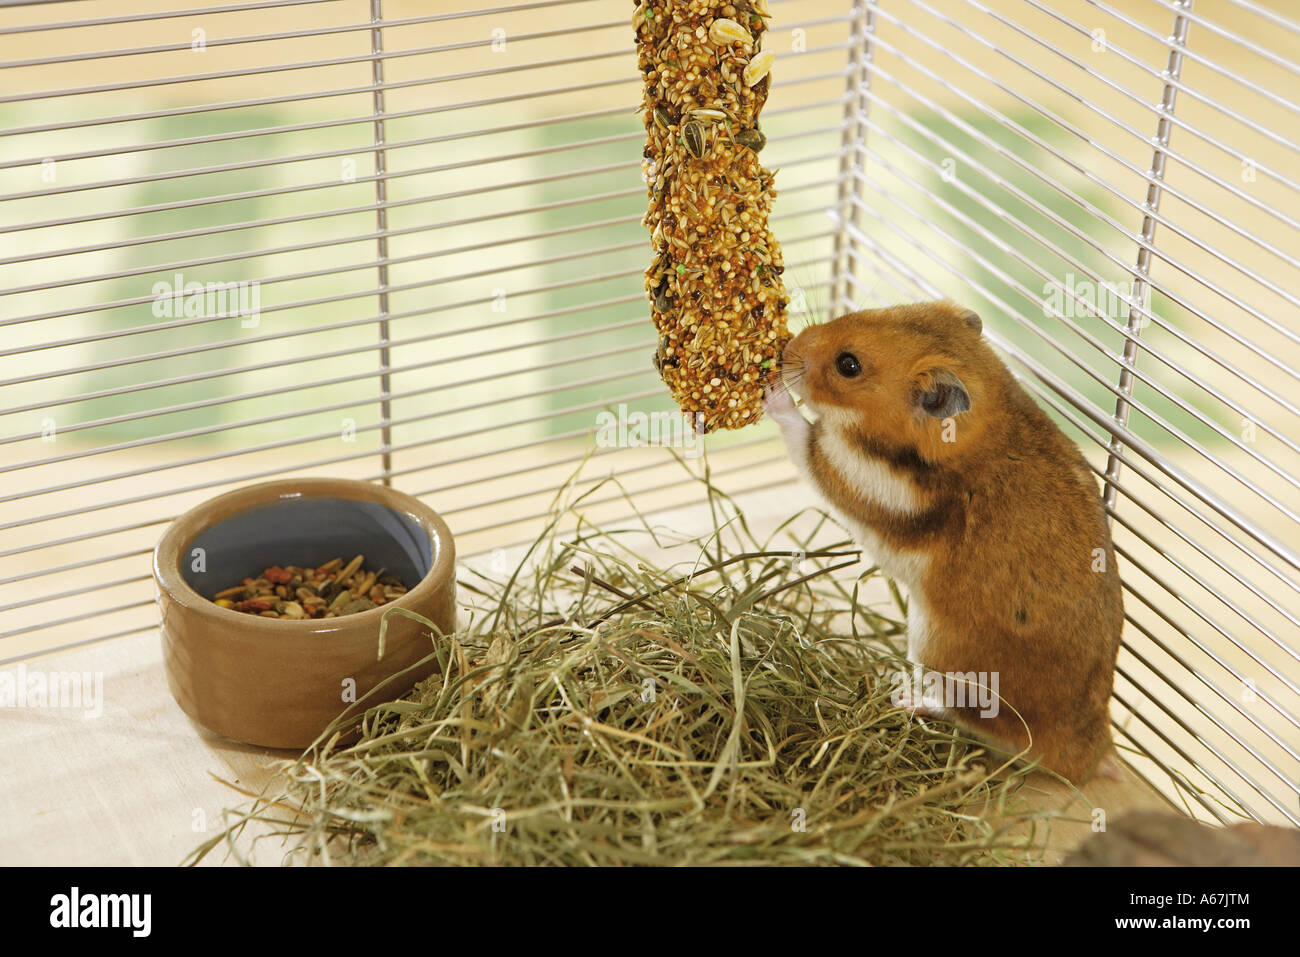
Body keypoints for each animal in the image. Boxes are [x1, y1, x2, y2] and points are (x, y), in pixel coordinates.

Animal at [762, 300, 1124, 783]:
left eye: (848, 365)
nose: (787, 349)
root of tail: (1090, 756)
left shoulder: (852, 472)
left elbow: (803, 437)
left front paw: (772, 392)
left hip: (938, 654)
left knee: (964, 717)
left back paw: (905, 698)